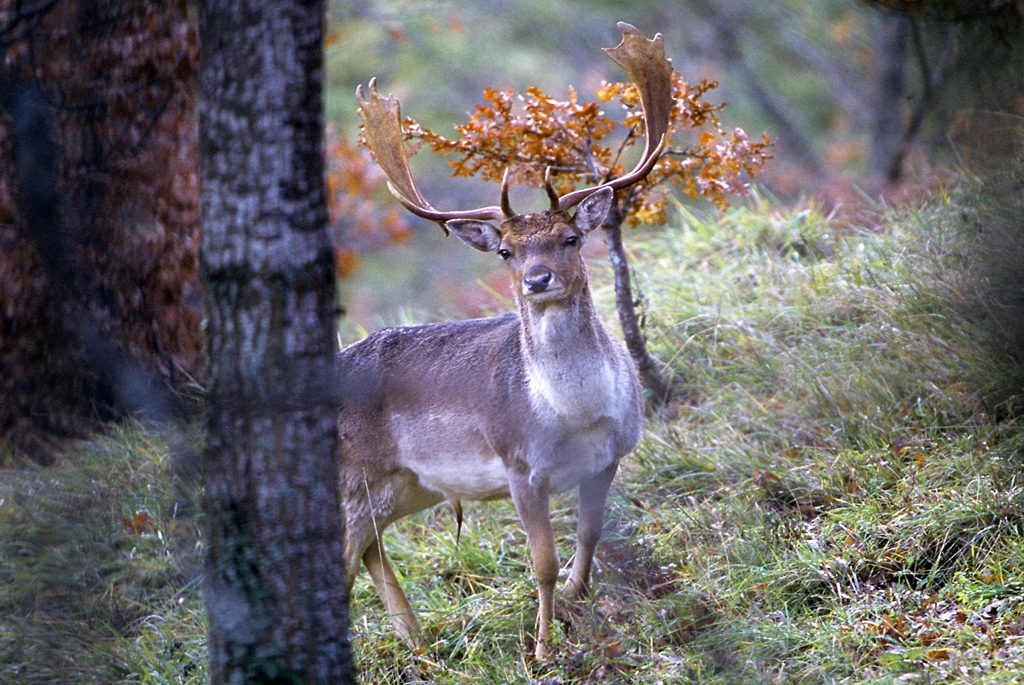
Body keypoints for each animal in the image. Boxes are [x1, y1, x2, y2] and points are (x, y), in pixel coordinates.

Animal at [342, 25, 671, 655]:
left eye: (570, 238)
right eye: (505, 251)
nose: (536, 279)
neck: (574, 415)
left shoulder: (611, 456)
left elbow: (589, 536)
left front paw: (577, 601)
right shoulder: (520, 464)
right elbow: (540, 563)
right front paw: (542, 648)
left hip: (405, 484)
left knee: (369, 549)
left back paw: (418, 644)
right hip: (353, 476)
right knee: (342, 559)